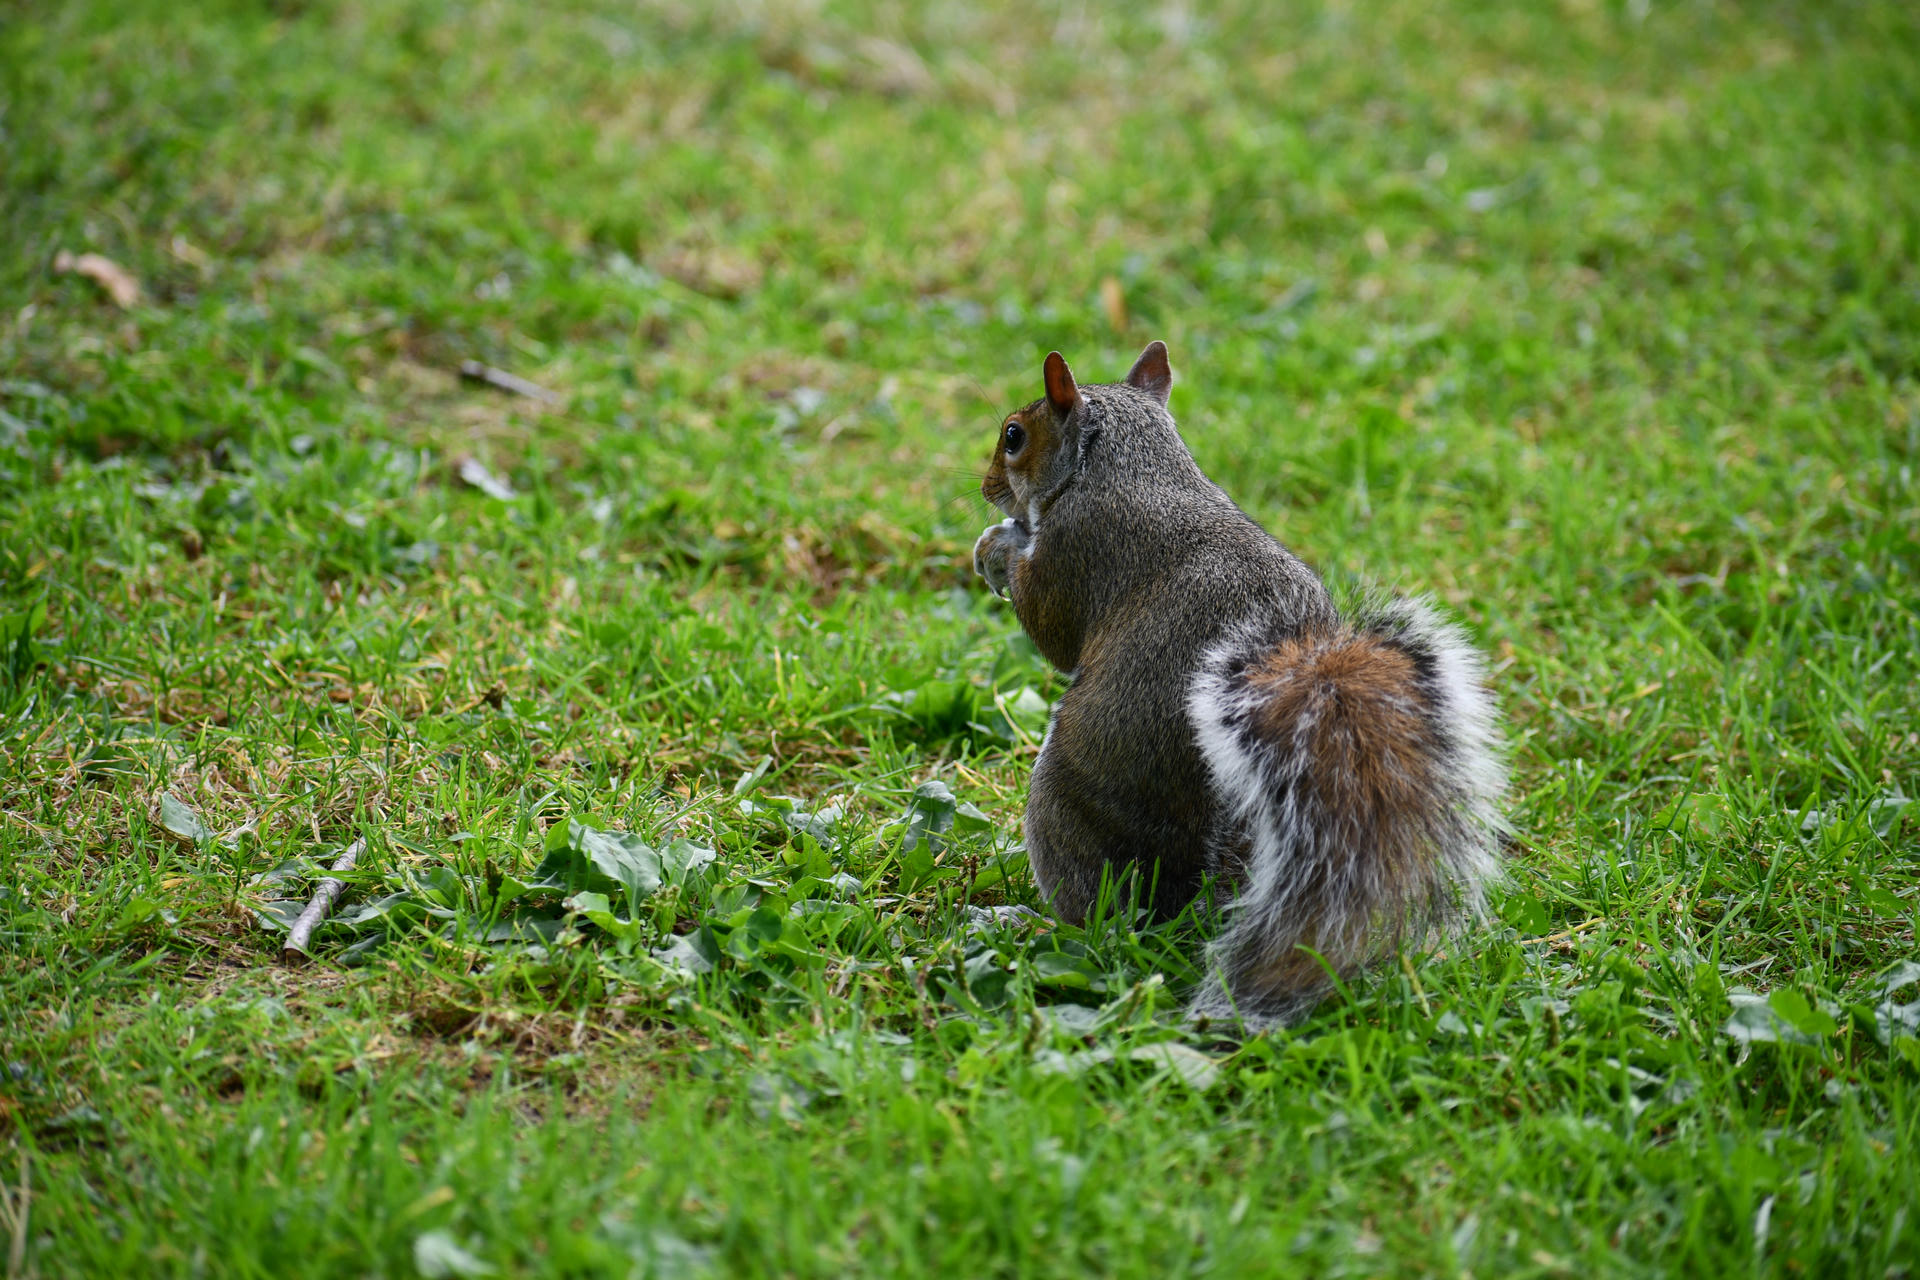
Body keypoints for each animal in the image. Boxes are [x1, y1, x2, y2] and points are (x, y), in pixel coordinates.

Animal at [972, 342, 1506, 1028]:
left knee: (1098, 924)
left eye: (1014, 436)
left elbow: (1052, 627)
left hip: (1063, 802)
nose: (985, 488)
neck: (1128, 464)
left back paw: (1030, 922)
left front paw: (996, 546)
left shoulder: (1077, 547)